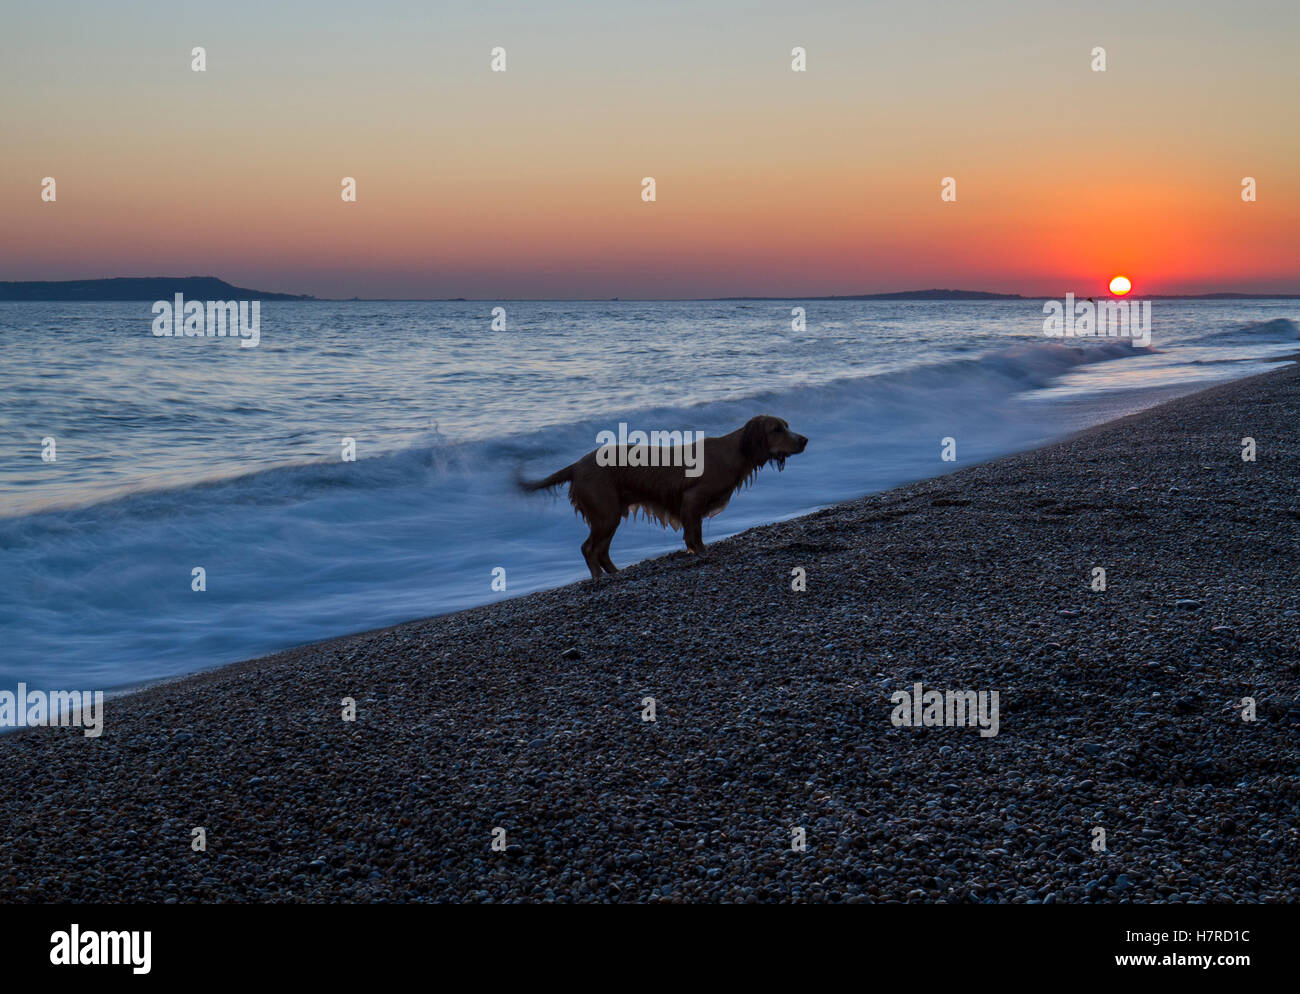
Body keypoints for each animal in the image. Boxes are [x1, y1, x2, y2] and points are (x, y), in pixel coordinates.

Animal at [514, 413, 800, 582]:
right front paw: (701, 553)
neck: (734, 451)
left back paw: (616, 574)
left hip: (609, 515)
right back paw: (599, 579)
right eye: (777, 429)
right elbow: (694, 536)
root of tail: (575, 465)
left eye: (787, 426)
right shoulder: (691, 499)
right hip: (606, 514)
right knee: (589, 549)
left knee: (601, 550)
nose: (805, 440)